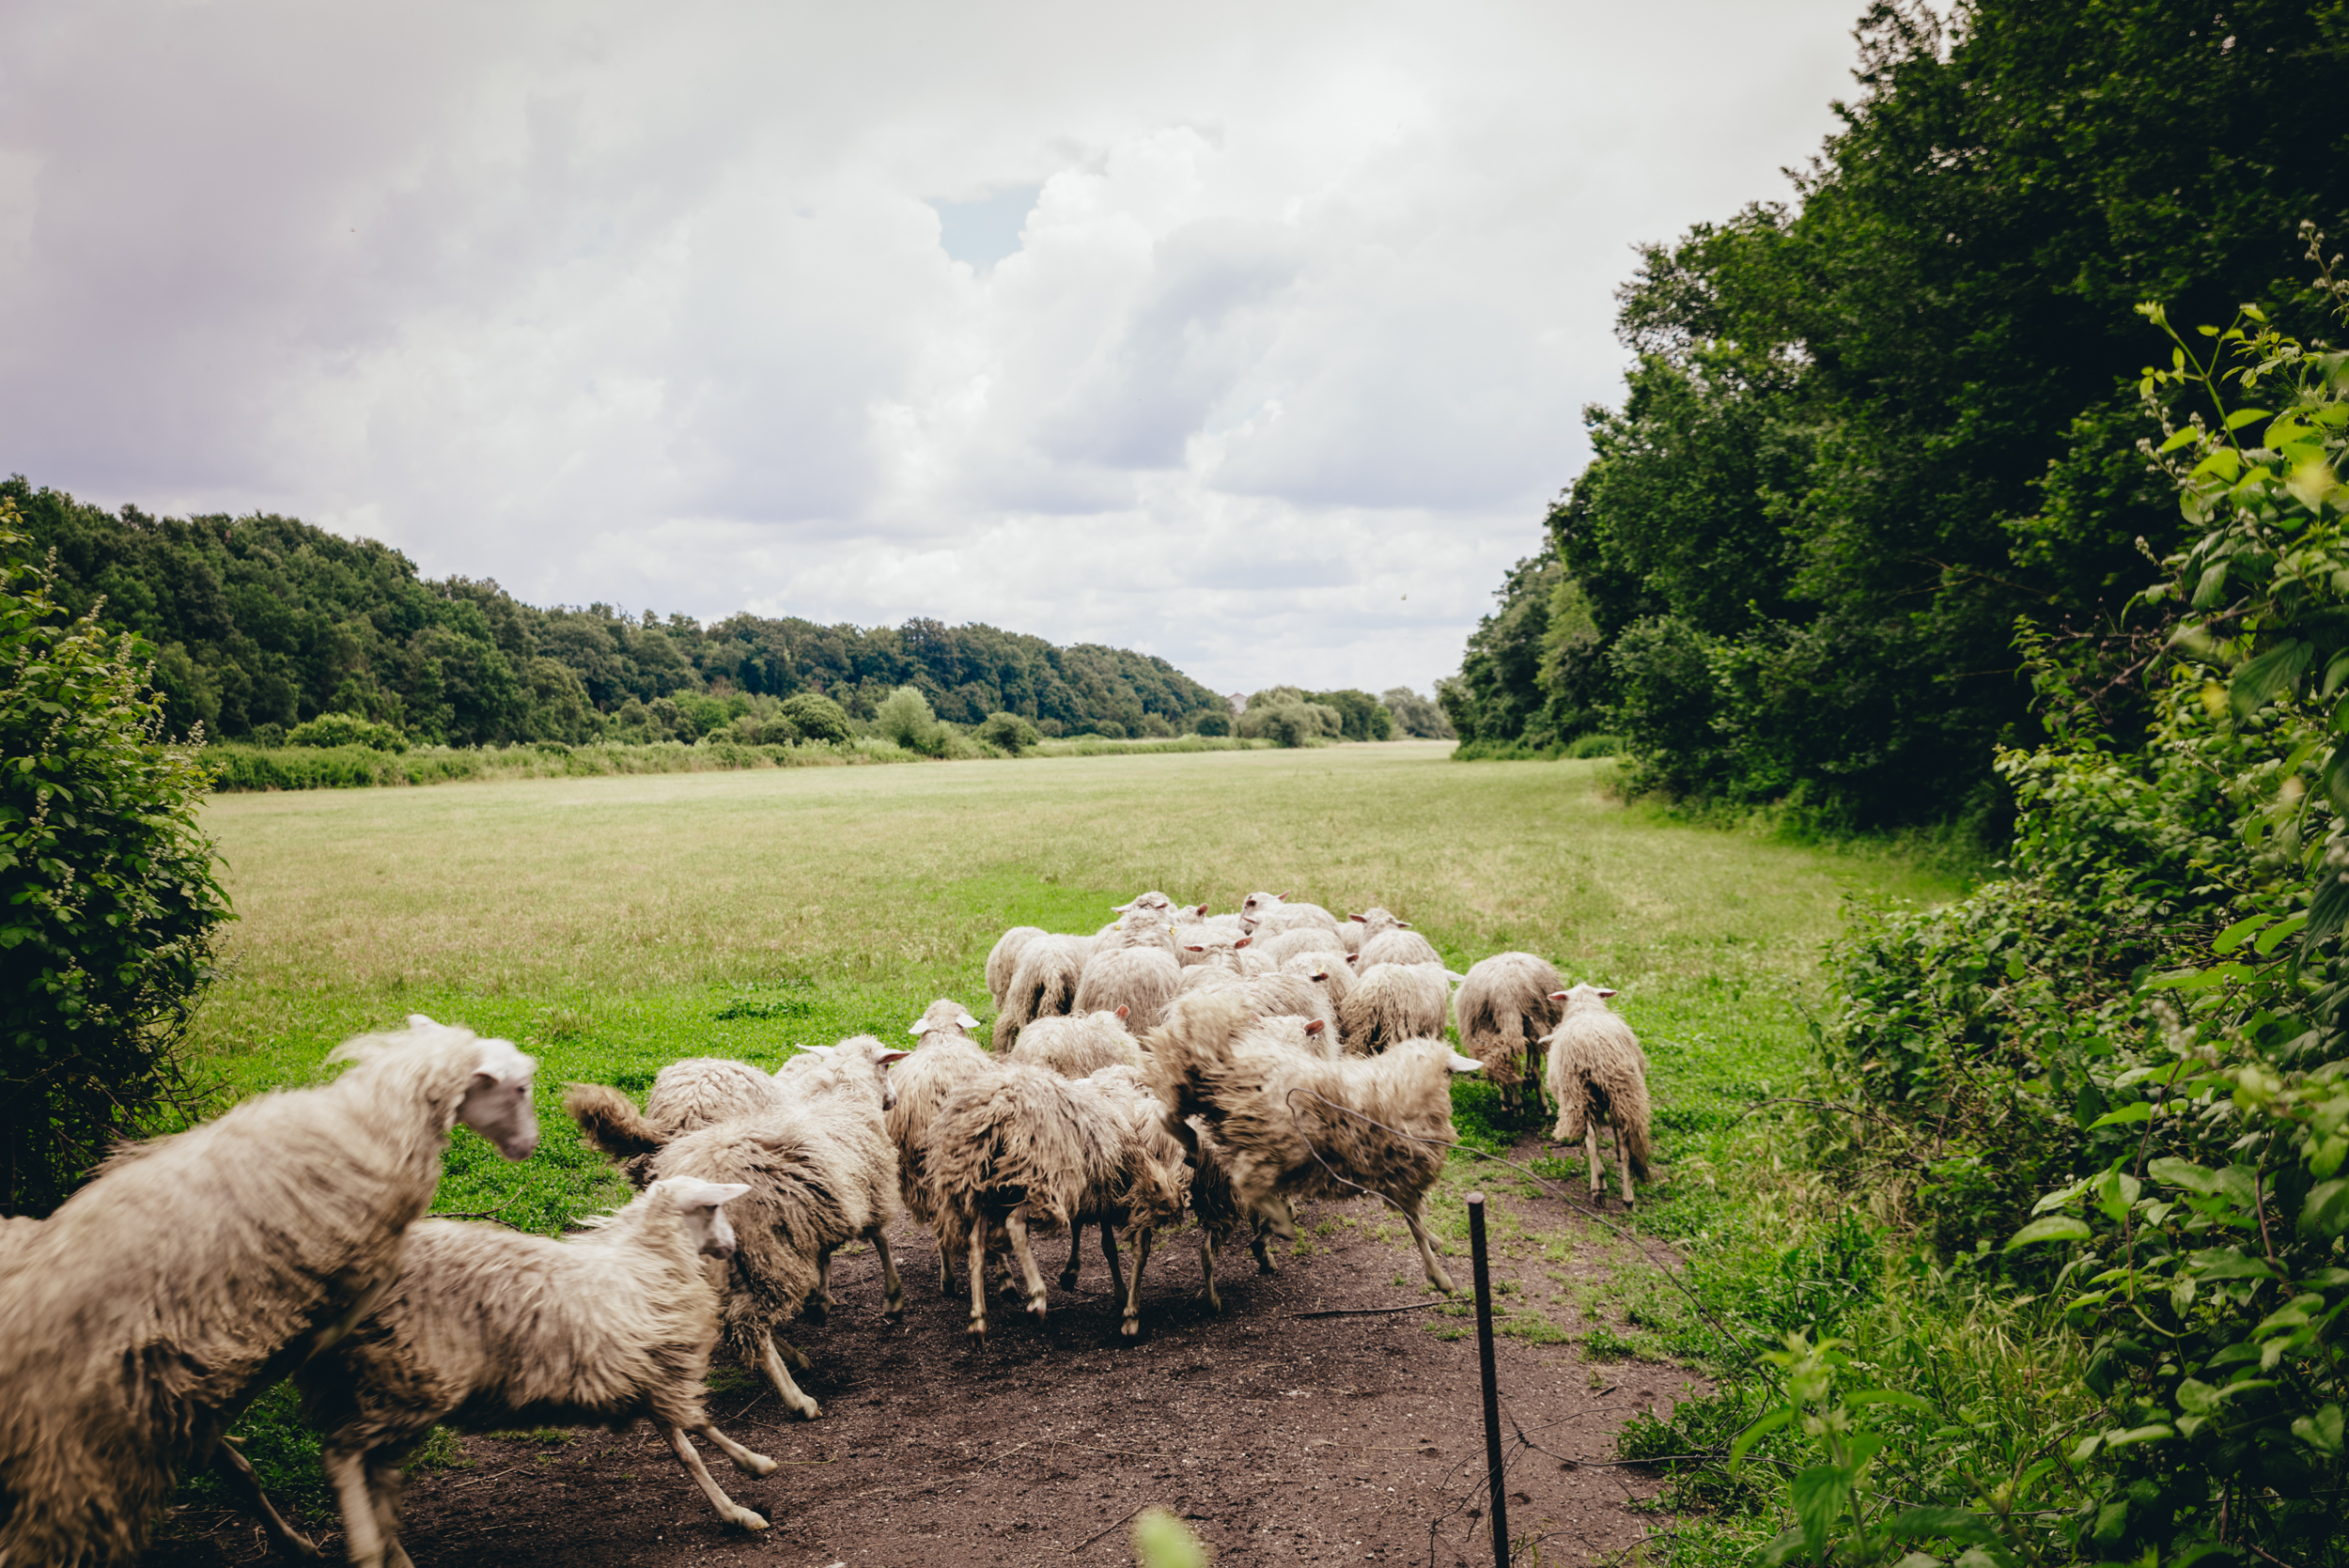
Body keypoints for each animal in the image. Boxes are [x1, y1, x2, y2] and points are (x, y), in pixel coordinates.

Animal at [298, 1177, 772, 1567]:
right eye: (713, 1208)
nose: (733, 1246)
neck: (650, 1257)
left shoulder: (648, 1373)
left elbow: (688, 1452)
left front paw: (737, 1506)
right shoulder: (663, 1373)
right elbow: (701, 1424)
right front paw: (755, 1467)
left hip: (376, 1384)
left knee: (372, 1471)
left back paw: (390, 1550)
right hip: (405, 1378)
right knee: (340, 1453)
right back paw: (366, 1549)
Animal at [929, 1062, 1188, 1341]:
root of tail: (996, 1111)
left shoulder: (1098, 1190)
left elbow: (1104, 1242)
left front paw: (1083, 1277)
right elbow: (1121, 1245)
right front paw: (1122, 1302)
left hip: (985, 1189)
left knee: (977, 1243)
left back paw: (978, 1320)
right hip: (1036, 1178)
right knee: (1014, 1224)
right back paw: (1037, 1299)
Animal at [1142, 990, 1481, 1292]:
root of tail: (1222, 1059)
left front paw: (1262, 1244)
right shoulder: (1405, 1175)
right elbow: (1417, 1227)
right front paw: (1439, 1275)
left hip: (1205, 1100)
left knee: (1169, 1116)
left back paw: (1192, 1148)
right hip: (1270, 1143)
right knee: (1245, 1182)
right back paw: (1279, 1222)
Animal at [1456, 952, 1567, 1115]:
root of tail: (1506, 993)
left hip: (1494, 1027)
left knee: (1505, 1061)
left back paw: (1513, 1104)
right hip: (1533, 1023)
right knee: (1526, 1069)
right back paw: (1534, 1105)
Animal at [1541, 985, 1653, 1209]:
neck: (1586, 1008)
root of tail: (1593, 1049)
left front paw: (1601, 1180)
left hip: (1578, 1095)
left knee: (1591, 1140)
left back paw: (1597, 1187)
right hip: (1621, 1093)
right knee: (1625, 1145)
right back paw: (1628, 1198)